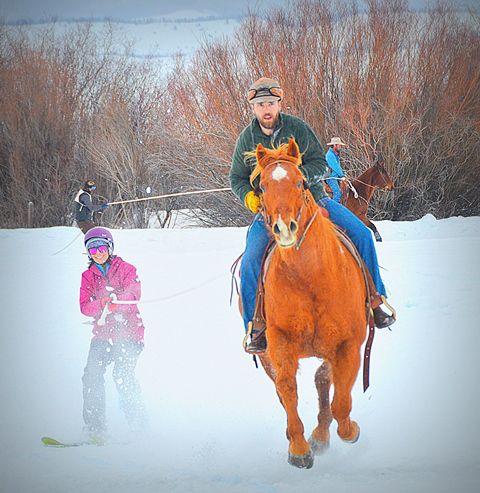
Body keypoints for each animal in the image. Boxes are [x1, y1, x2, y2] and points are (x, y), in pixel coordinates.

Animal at [253, 136, 370, 468]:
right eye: (261, 187)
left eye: (301, 181)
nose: (284, 228)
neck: (310, 278)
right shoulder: (279, 342)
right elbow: (287, 388)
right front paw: (299, 447)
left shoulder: (348, 345)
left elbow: (341, 401)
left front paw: (344, 431)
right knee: (287, 389)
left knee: (322, 381)